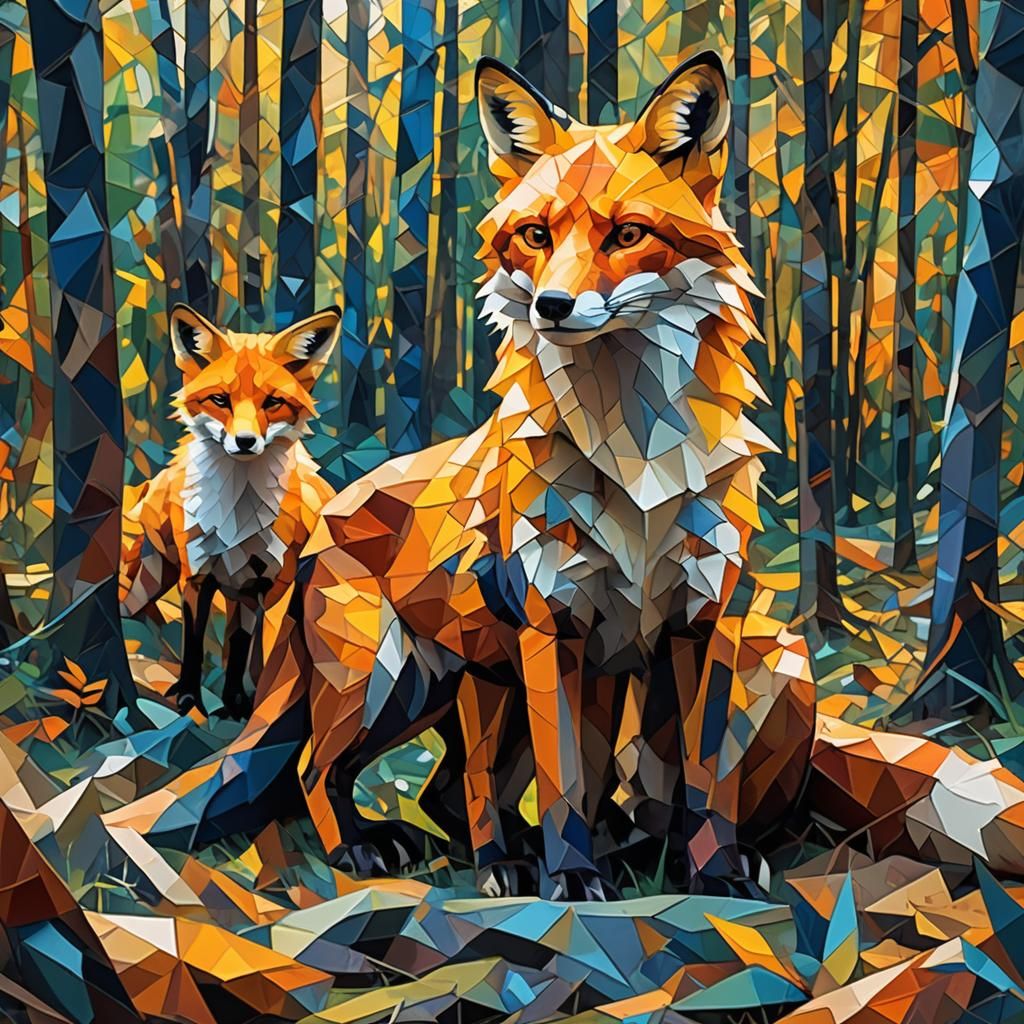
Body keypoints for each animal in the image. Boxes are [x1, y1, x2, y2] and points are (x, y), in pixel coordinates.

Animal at [119, 305, 340, 718]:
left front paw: (245, 705)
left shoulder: (271, 585)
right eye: (220, 400)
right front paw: (188, 698)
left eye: (272, 402)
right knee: (130, 605)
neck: (239, 515)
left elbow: (253, 653)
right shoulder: (196, 575)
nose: (245, 441)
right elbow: (193, 645)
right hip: (156, 574)